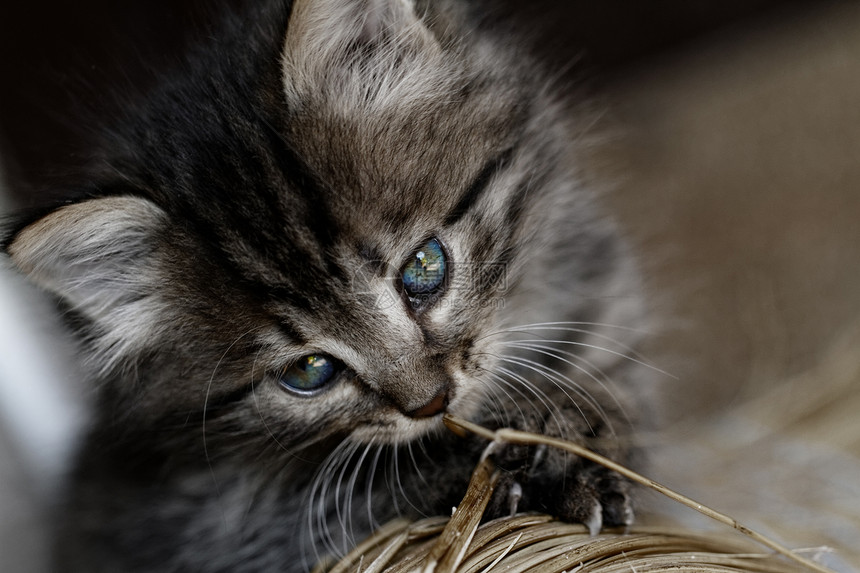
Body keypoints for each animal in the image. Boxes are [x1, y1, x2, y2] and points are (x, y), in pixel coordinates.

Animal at [0, 1, 644, 572]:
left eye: (424, 267)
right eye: (309, 371)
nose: (432, 402)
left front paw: (566, 439)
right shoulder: (215, 522)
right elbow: (355, 493)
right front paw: (506, 464)